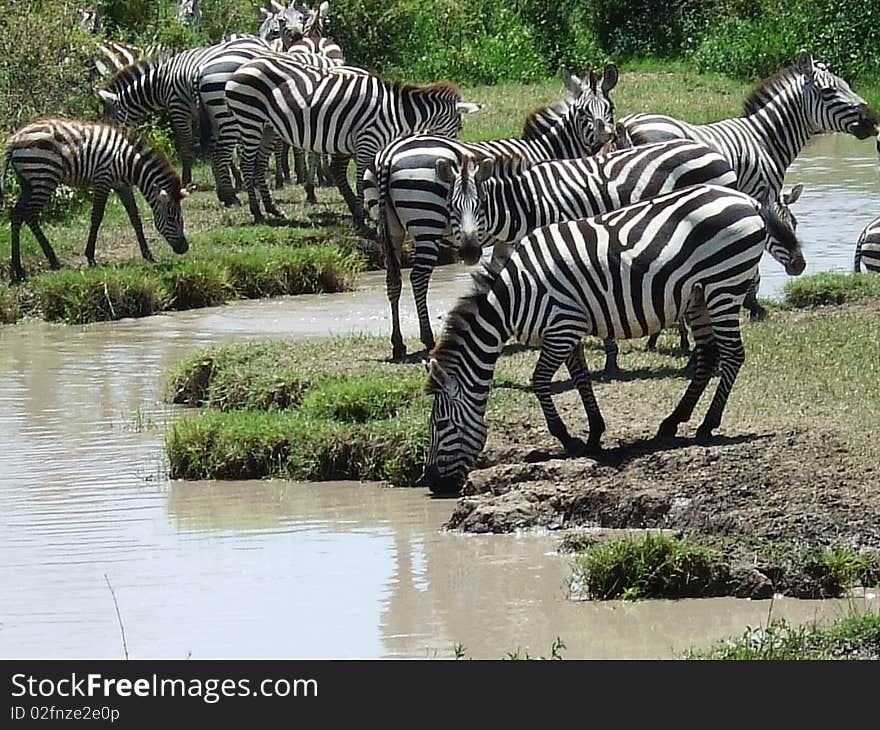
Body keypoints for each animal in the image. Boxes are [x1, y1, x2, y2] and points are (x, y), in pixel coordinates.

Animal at [2, 118, 189, 280]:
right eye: (172, 218)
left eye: (181, 219)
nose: (184, 248)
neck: (127, 161)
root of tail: (15, 139)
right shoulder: (103, 180)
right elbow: (97, 218)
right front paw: (90, 257)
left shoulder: (122, 186)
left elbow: (135, 219)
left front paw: (148, 255)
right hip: (44, 176)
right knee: (30, 214)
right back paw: (53, 261)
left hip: (28, 182)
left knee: (17, 214)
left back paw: (18, 269)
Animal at [223, 59, 478, 230]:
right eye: (459, 127)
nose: (458, 156)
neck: (395, 112)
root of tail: (243, 67)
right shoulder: (367, 141)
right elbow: (360, 181)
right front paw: (361, 219)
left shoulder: (375, 146)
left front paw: (374, 215)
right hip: (250, 120)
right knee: (247, 165)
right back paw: (257, 213)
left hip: (267, 127)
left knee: (258, 165)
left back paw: (272, 209)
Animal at [360, 64, 624, 358]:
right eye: (582, 111)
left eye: (609, 108)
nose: (604, 136)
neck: (549, 152)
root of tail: (389, 154)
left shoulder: (506, 235)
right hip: (426, 222)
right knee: (418, 278)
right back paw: (427, 339)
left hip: (389, 227)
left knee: (393, 277)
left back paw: (398, 344)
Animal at [420, 183, 804, 494]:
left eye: (440, 424)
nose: (433, 483)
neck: (513, 299)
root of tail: (746, 200)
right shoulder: (567, 330)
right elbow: (581, 379)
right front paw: (594, 434)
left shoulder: (561, 326)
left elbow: (540, 381)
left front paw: (567, 438)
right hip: (699, 296)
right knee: (709, 356)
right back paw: (672, 421)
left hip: (723, 285)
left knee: (733, 355)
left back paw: (707, 426)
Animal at [436, 139, 740, 372]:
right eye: (451, 207)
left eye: (481, 205)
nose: (470, 252)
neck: (528, 204)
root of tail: (714, 152)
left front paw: (604, 357)